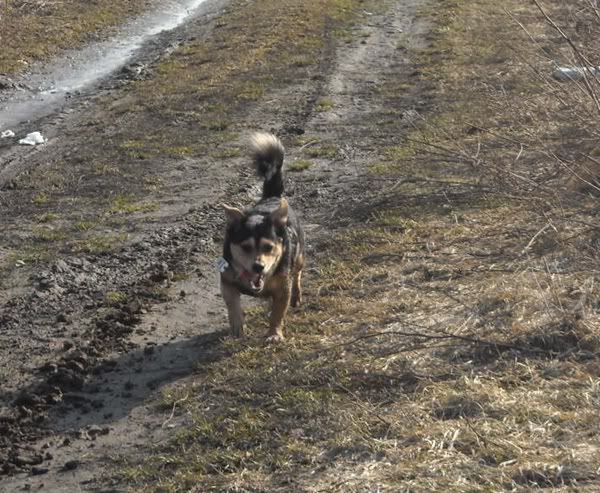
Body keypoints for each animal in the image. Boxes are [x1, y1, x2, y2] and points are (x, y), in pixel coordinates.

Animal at [219, 133, 305, 342]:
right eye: (245, 247)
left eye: (269, 247)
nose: (258, 266)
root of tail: (272, 197)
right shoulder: (226, 279)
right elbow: (232, 304)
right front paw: (237, 327)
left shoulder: (282, 288)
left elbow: (278, 312)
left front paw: (274, 333)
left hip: (299, 256)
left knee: (298, 274)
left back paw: (297, 295)